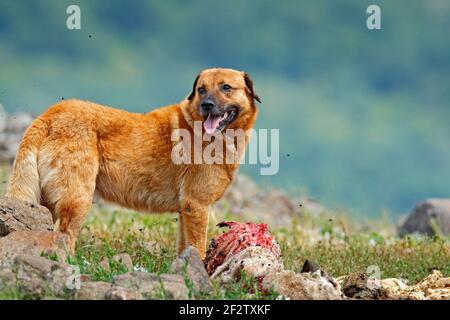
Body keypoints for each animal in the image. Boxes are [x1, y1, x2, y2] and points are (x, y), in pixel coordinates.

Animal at [5, 67, 260, 258]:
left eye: (226, 87)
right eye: (201, 89)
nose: (206, 105)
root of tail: (47, 116)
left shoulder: (186, 211)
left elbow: (184, 248)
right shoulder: (197, 206)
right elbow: (197, 247)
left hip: (46, 201)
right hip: (78, 198)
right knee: (65, 236)